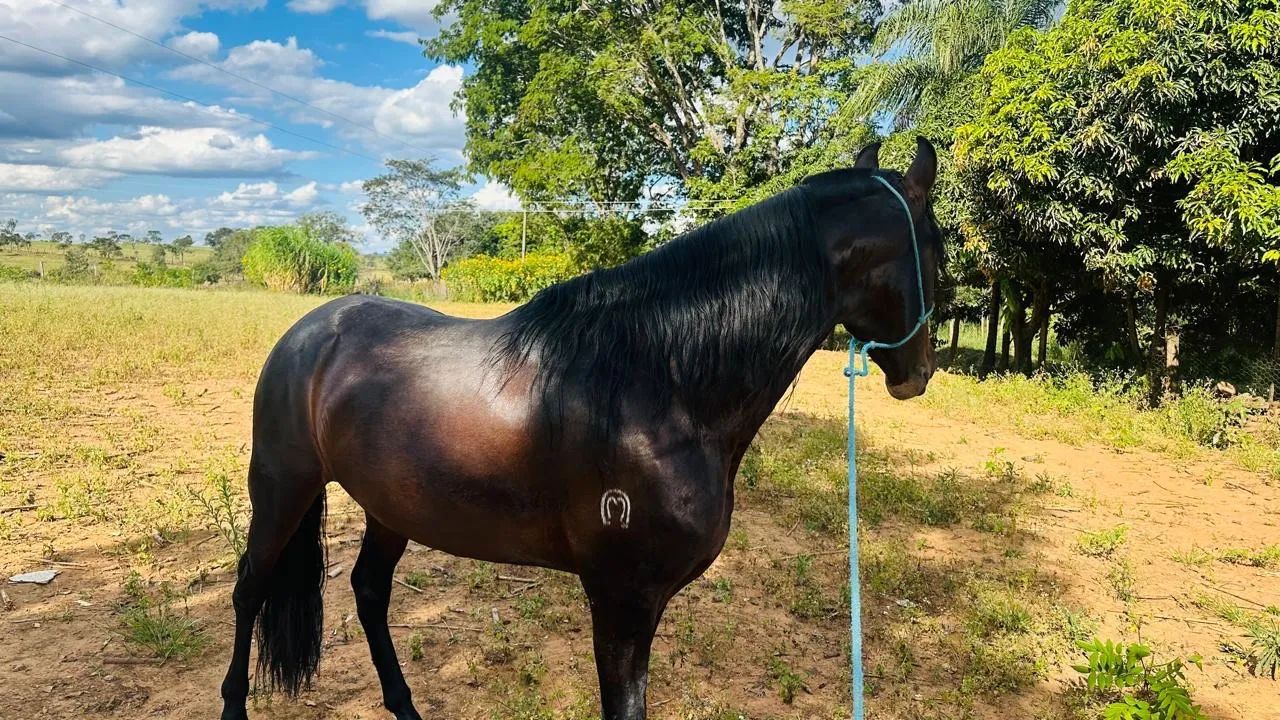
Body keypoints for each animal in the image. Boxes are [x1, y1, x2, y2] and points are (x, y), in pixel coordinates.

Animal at [219, 138, 943, 720]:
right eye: (936, 248)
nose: (920, 372)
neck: (658, 381)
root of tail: (313, 330)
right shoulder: (622, 601)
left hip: (390, 505)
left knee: (369, 592)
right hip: (282, 490)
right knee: (250, 588)